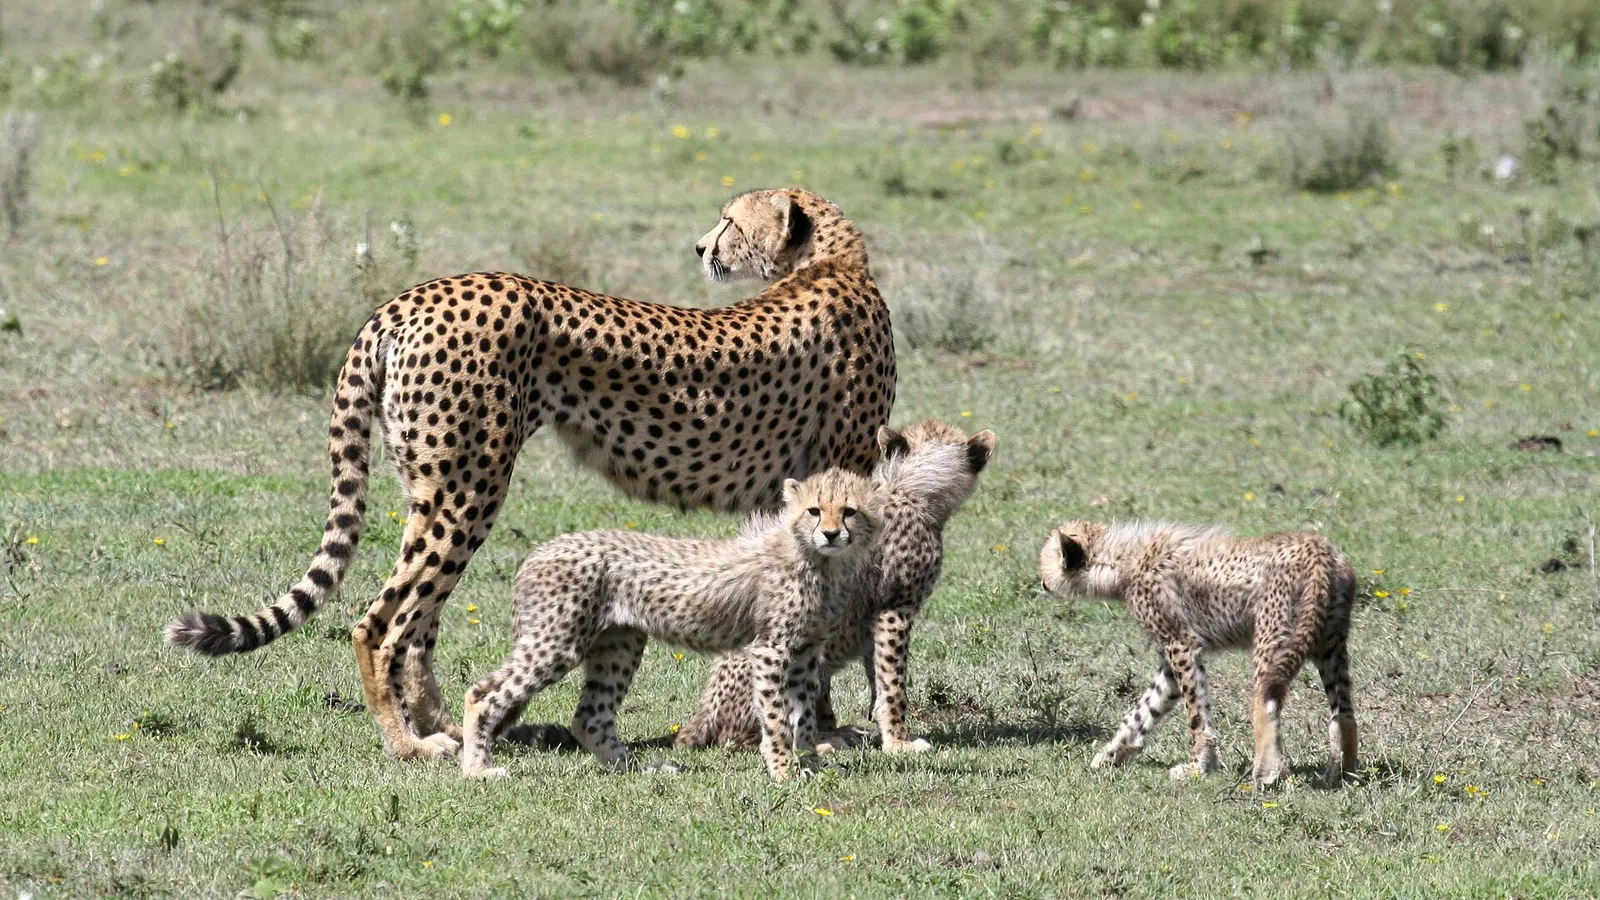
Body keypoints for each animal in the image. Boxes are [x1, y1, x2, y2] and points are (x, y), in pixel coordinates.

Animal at [459, 467, 879, 781]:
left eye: (850, 511)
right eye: (814, 511)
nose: (830, 534)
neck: (817, 559)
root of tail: (539, 549)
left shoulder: (807, 650)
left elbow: (803, 716)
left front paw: (811, 764)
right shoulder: (770, 649)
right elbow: (777, 716)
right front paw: (783, 771)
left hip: (619, 643)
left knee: (590, 718)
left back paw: (638, 769)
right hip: (559, 641)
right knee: (482, 695)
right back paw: (478, 770)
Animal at [673, 419, 996, 756]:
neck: (912, 487)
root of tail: (705, 711)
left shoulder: (874, 618)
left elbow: (876, 672)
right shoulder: (895, 610)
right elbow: (893, 682)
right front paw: (898, 741)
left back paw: (833, 732)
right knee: (742, 738)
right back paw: (819, 741)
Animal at [1037, 520, 1358, 788]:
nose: (1040, 582)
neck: (1123, 560)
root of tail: (1320, 549)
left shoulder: (1181, 645)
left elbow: (1195, 714)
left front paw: (1198, 767)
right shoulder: (1170, 662)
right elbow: (1144, 710)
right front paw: (1111, 756)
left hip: (1272, 642)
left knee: (1267, 703)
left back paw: (1268, 773)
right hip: (1330, 645)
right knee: (1344, 711)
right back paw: (1342, 773)